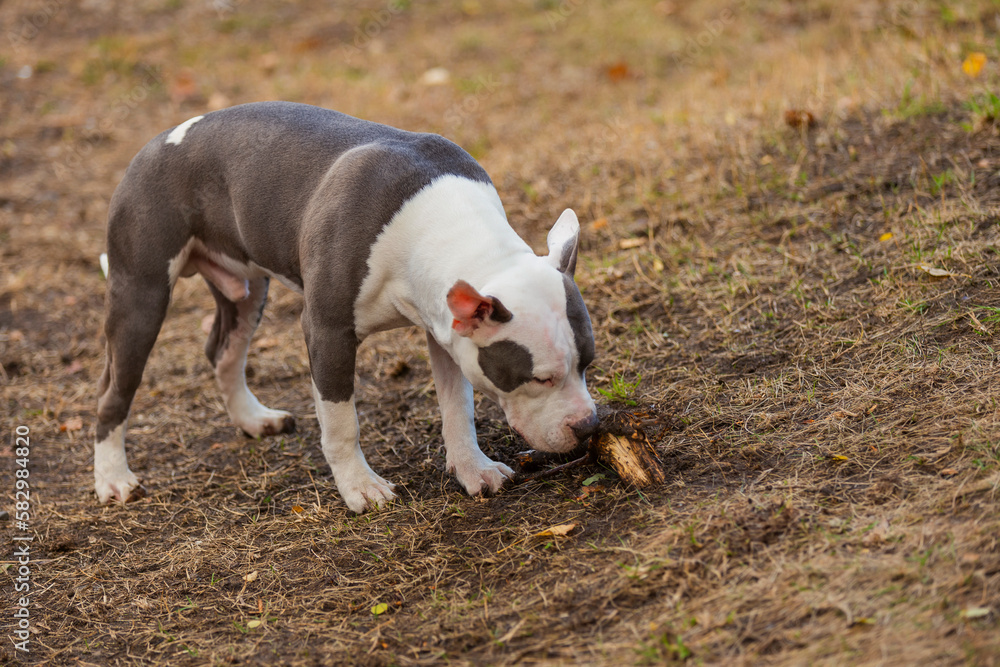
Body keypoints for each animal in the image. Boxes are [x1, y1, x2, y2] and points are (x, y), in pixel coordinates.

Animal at [94, 102, 596, 516]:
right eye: (540, 378)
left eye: (587, 364)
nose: (590, 425)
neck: (445, 227)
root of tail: (157, 141)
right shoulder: (328, 331)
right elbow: (341, 422)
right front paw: (360, 487)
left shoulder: (446, 332)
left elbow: (459, 407)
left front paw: (474, 468)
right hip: (140, 295)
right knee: (114, 390)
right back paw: (114, 479)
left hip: (247, 291)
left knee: (222, 352)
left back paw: (253, 419)